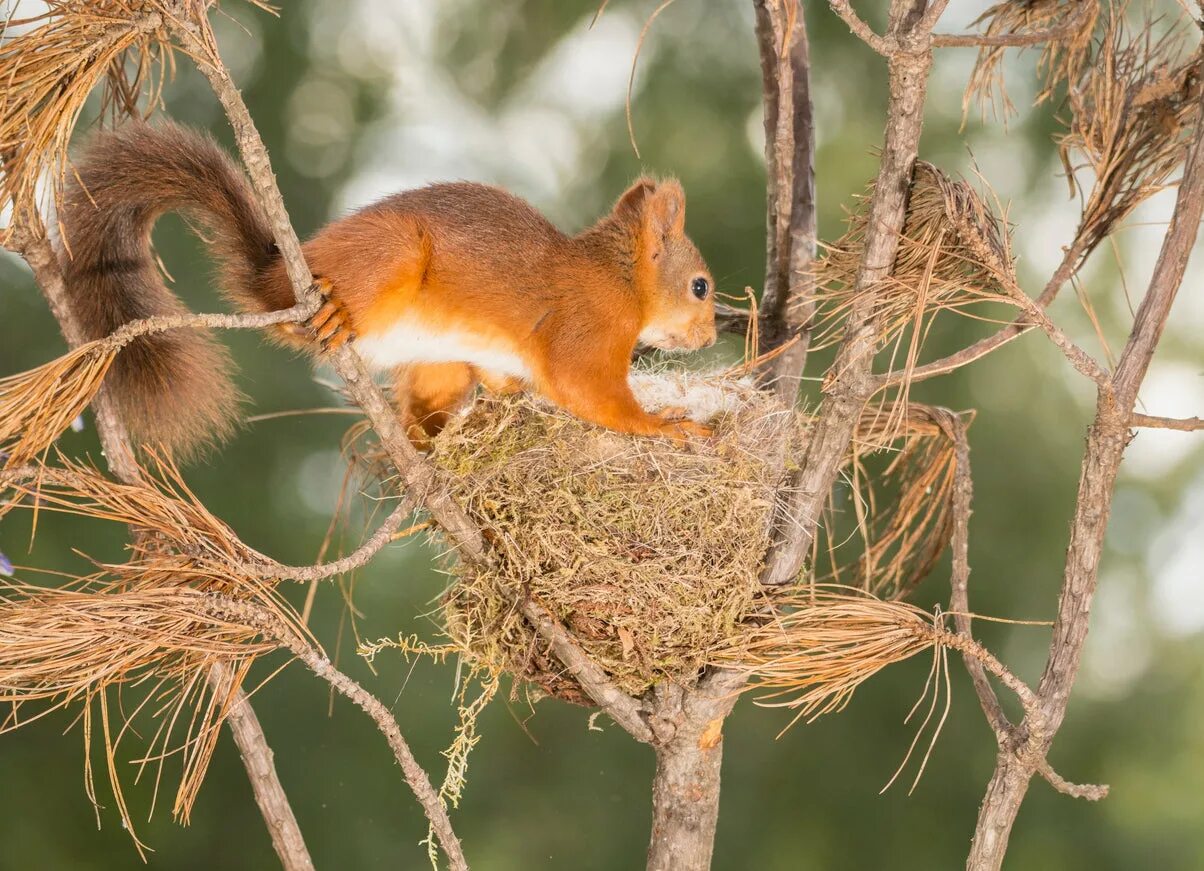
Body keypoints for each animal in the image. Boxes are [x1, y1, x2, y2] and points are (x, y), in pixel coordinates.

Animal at [58, 125, 712, 460]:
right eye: (701, 287)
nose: (709, 337)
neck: (618, 280)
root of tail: (275, 274)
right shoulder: (587, 329)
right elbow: (590, 392)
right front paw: (664, 425)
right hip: (390, 254)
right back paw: (326, 315)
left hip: (439, 356)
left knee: (425, 402)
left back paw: (427, 441)